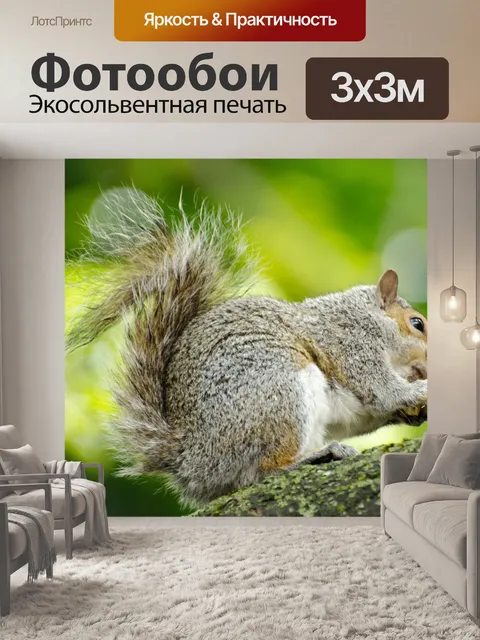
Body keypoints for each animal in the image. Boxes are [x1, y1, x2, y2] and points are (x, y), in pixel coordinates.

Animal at [67, 189, 428, 506]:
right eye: (418, 323)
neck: (365, 317)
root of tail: (193, 461)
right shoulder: (351, 342)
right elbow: (381, 388)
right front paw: (419, 391)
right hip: (279, 392)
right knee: (262, 471)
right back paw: (320, 455)